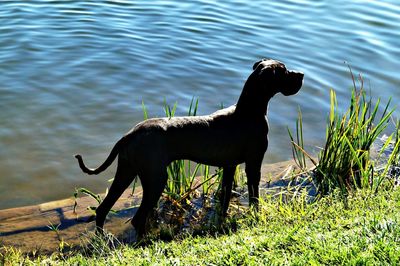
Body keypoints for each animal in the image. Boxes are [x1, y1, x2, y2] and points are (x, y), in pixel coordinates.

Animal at [76, 59, 304, 236]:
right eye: (284, 71)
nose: (301, 74)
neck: (248, 111)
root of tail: (130, 133)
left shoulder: (230, 167)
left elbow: (225, 196)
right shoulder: (253, 163)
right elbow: (254, 194)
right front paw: (256, 214)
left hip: (127, 173)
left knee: (103, 210)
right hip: (156, 179)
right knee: (137, 219)